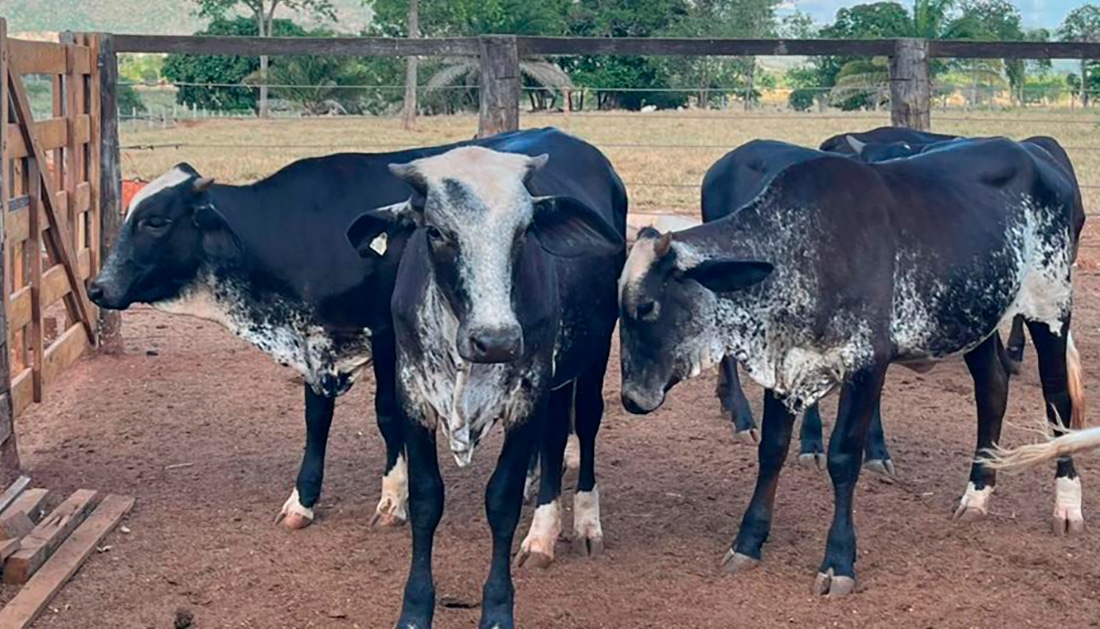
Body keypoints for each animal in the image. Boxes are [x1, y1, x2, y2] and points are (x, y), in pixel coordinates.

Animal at [85, 127, 602, 541]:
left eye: (155, 220)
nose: (97, 287)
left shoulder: (387, 338)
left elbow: (388, 416)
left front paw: (393, 497)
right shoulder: (316, 342)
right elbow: (316, 419)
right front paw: (302, 500)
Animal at [620, 136, 1082, 593]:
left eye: (646, 306)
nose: (631, 398)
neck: (798, 252)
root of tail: (1036, 154)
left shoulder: (866, 365)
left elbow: (844, 458)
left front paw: (838, 560)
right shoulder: (785, 368)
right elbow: (772, 449)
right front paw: (748, 541)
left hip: (1051, 308)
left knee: (1057, 397)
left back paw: (1066, 503)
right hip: (978, 321)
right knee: (992, 389)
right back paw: (977, 494)